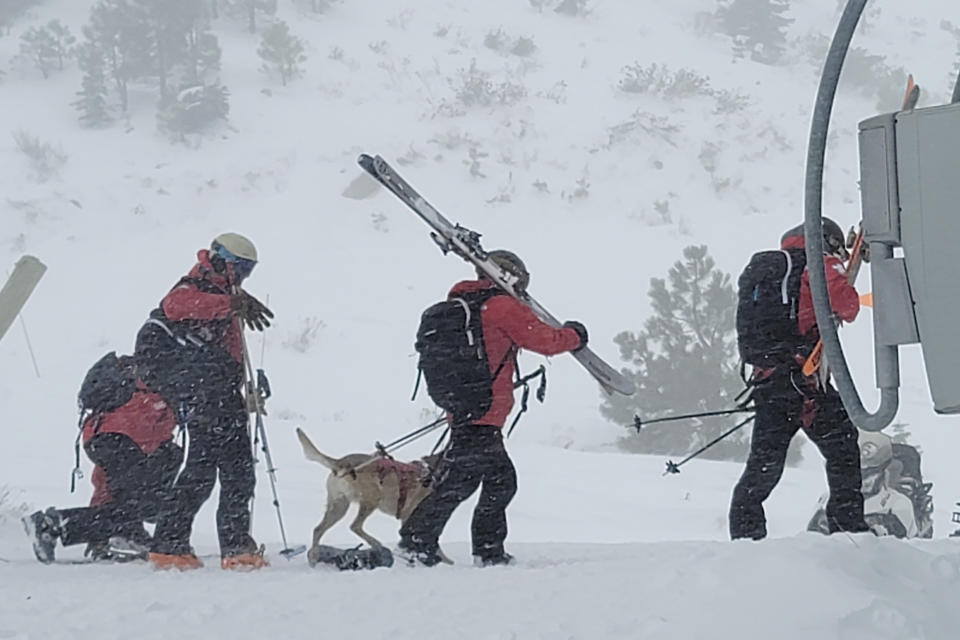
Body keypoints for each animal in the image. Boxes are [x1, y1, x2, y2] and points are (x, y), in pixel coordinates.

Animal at [296, 430, 450, 564]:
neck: (430, 473)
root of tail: (341, 462)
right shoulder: (409, 516)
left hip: (339, 506)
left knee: (318, 529)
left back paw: (314, 557)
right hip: (371, 500)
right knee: (355, 526)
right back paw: (375, 543)